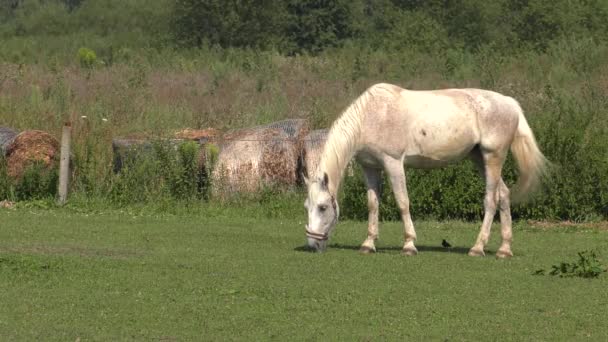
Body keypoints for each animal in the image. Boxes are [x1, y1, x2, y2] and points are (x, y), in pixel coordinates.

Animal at [304, 84, 548, 258]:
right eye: (307, 206)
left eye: (323, 207)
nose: (312, 244)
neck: (372, 116)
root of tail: (510, 103)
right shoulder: (370, 167)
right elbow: (373, 205)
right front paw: (368, 244)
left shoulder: (393, 163)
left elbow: (403, 203)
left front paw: (409, 245)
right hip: (480, 159)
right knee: (504, 195)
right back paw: (504, 250)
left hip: (492, 157)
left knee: (491, 200)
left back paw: (477, 248)